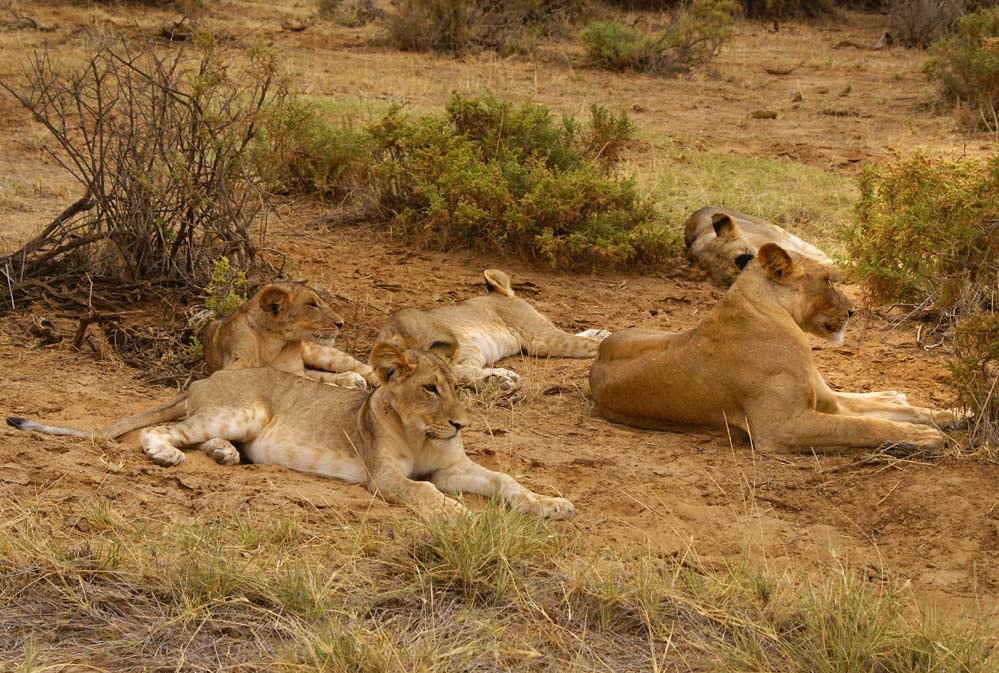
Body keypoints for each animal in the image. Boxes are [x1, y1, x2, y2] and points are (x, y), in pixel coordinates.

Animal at [5, 344, 580, 516]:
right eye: (429, 389)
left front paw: (551, 504)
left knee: (202, 437)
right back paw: (170, 457)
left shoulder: (455, 465)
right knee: (164, 434)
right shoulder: (384, 478)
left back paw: (226, 456)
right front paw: (457, 514)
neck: (422, 434)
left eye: (459, 386)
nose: (462, 422)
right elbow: (423, 492)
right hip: (246, 410)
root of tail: (203, 378)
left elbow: (506, 481)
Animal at [376, 270, 608, 394]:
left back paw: (500, 379)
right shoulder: (541, 340)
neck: (505, 297)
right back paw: (501, 379)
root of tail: (388, 333)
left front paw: (600, 332)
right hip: (457, 343)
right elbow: (582, 343)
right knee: (451, 372)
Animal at [588, 243, 956, 452]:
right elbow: (864, 426)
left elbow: (896, 412)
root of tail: (595, 361)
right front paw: (924, 438)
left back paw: (894, 394)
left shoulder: (824, 405)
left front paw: (951, 415)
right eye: (827, 280)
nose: (853, 311)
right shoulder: (781, 428)